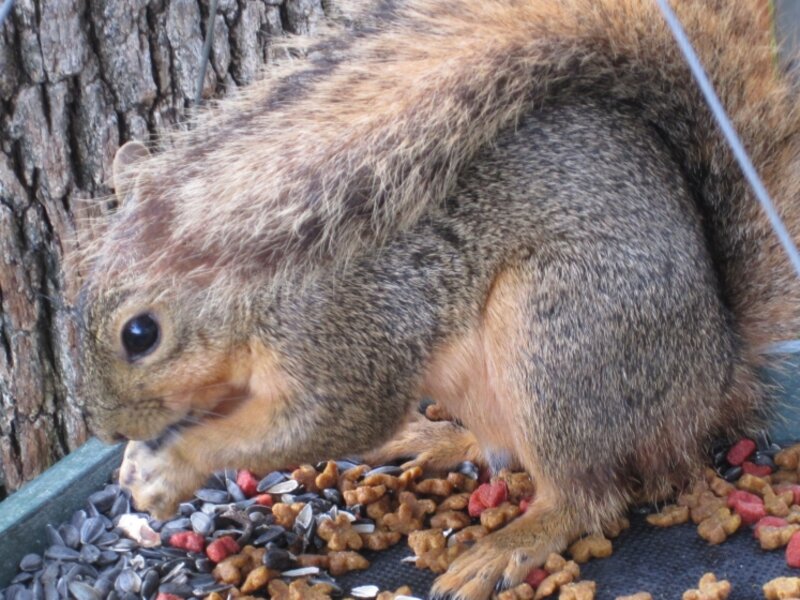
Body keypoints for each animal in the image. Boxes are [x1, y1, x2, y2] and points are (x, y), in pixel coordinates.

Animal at [77, 1, 800, 597]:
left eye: (140, 334)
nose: (108, 430)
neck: (258, 288)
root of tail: (712, 376)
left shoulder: (347, 333)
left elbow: (329, 421)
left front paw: (172, 466)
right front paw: (142, 464)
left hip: (562, 340)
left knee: (586, 498)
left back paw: (509, 545)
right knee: (500, 450)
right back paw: (432, 438)